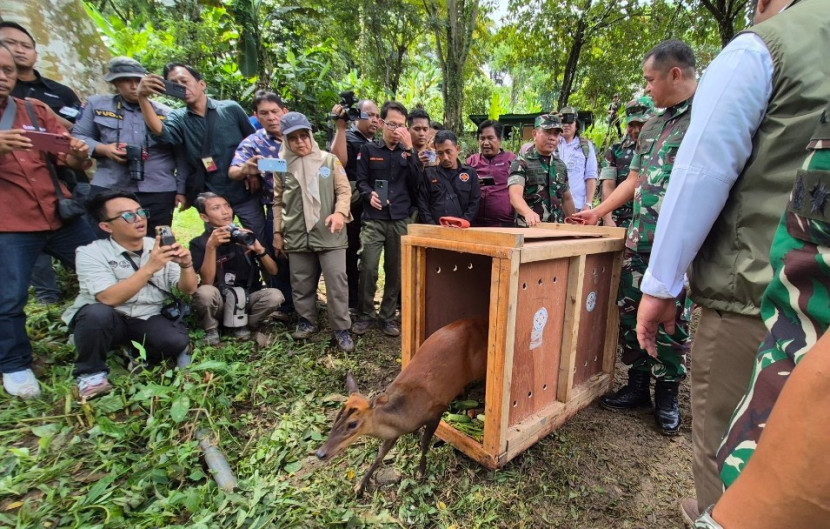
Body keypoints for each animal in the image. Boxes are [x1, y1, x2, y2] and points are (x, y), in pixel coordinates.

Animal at [316, 318, 488, 496]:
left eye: (353, 424)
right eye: (336, 417)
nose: (320, 453)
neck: (406, 413)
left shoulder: (436, 412)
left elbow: (424, 442)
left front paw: (421, 471)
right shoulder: (395, 431)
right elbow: (381, 453)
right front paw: (360, 485)